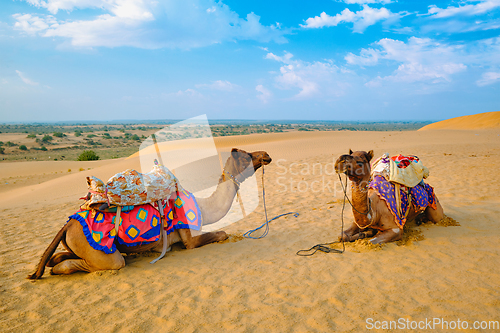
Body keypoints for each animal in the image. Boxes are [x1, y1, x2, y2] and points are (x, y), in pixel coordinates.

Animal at [29, 148, 272, 278]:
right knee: (104, 263)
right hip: (100, 251)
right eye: (247, 156)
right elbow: (222, 234)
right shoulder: (190, 239)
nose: (266, 155)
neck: (204, 207)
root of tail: (68, 224)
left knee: (58, 257)